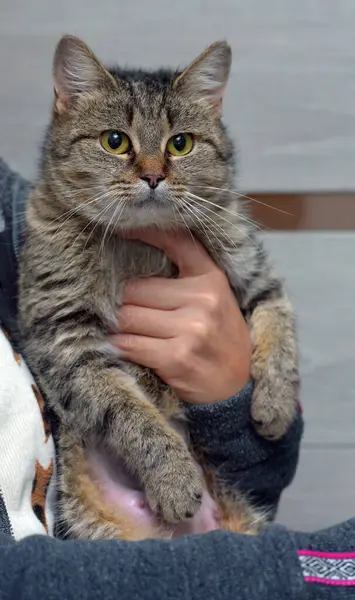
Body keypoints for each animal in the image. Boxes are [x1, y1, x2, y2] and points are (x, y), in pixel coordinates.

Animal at [18, 35, 298, 540]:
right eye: (115, 141)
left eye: (180, 144)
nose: (153, 175)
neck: (142, 242)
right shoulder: (63, 335)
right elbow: (130, 412)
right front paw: (173, 476)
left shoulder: (255, 272)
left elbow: (278, 323)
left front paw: (276, 403)